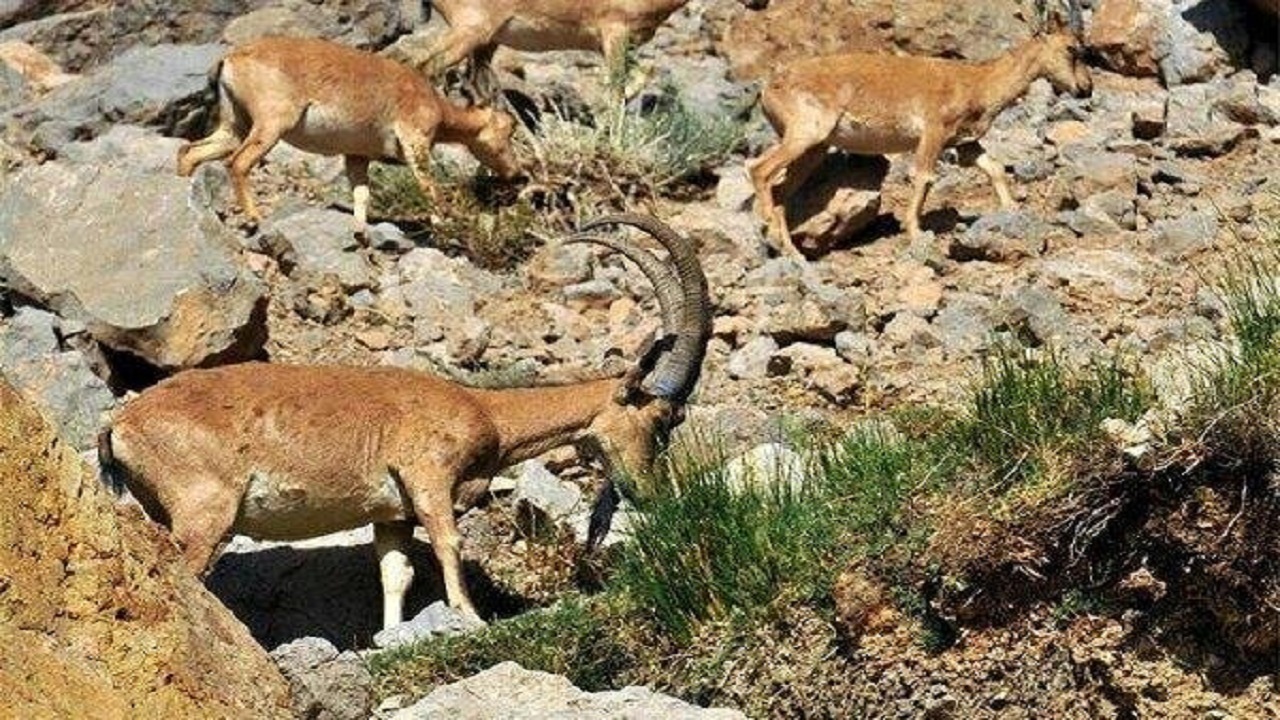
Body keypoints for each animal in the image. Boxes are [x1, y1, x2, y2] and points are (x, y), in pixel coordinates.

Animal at [102, 212, 711, 627]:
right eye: (664, 419)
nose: (651, 493)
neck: (486, 411)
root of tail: (121, 424)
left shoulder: (391, 513)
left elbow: (396, 572)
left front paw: (390, 635)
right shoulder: (428, 477)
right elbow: (448, 544)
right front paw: (469, 618)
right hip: (205, 514)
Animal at [177, 37, 522, 235]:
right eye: (508, 130)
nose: (515, 172)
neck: (434, 103)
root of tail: (232, 60)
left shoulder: (357, 157)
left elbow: (361, 194)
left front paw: (360, 233)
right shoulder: (415, 141)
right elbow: (429, 187)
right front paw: (445, 225)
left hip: (234, 126)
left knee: (190, 152)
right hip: (270, 125)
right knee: (238, 162)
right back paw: (253, 218)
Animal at [747, 1, 1090, 254]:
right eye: (1072, 48)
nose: (1086, 89)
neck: (978, 82)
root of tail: (769, 88)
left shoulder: (965, 143)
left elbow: (994, 168)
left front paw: (1013, 212)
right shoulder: (933, 132)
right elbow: (924, 177)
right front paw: (915, 232)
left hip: (814, 149)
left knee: (781, 191)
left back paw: (792, 252)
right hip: (805, 134)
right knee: (759, 170)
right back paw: (771, 236)